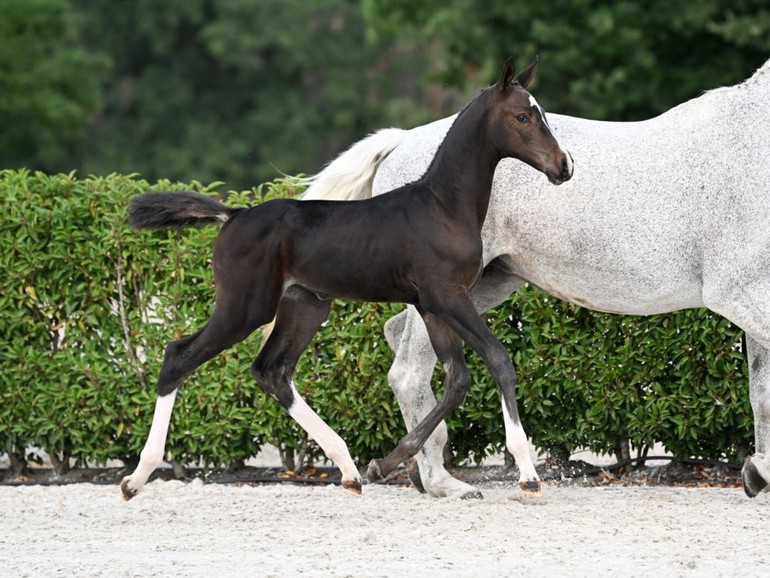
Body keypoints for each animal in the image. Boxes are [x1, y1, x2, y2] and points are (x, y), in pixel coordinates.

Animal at [304, 59, 768, 500]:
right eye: (523, 117)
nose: (565, 166)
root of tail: (402, 142)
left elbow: (759, 391)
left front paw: (757, 473)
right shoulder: (736, 293)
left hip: (480, 286)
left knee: (399, 335)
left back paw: (419, 471)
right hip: (443, 294)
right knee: (410, 371)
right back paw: (439, 480)